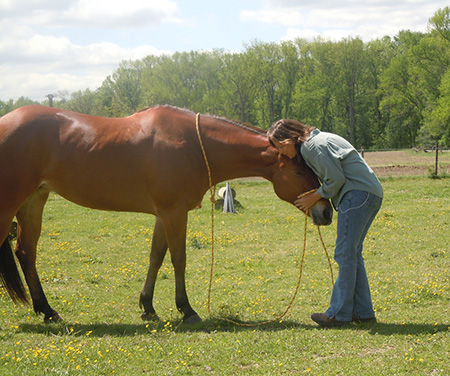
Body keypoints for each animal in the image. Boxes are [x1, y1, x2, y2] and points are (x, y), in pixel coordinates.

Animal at [0, 105, 330, 324]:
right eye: (299, 171)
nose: (326, 211)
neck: (193, 145)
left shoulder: (163, 213)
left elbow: (156, 257)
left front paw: (148, 307)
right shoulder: (174, 212)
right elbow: (178, 259)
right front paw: (187, 309)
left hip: (33, 201)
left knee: (26, 252)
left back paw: (47, 311)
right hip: (10, 205)